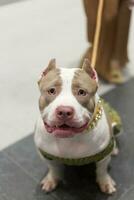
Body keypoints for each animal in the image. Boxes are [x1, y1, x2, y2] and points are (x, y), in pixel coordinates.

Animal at [34, 58, 118, 195]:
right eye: (51, 90)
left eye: (82, 92)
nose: (64, 111)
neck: (70, 139)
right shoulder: (46, 155)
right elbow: (53, 169)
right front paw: (51, 179)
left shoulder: (103, 156)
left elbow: (102, 170)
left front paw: (105, 182)